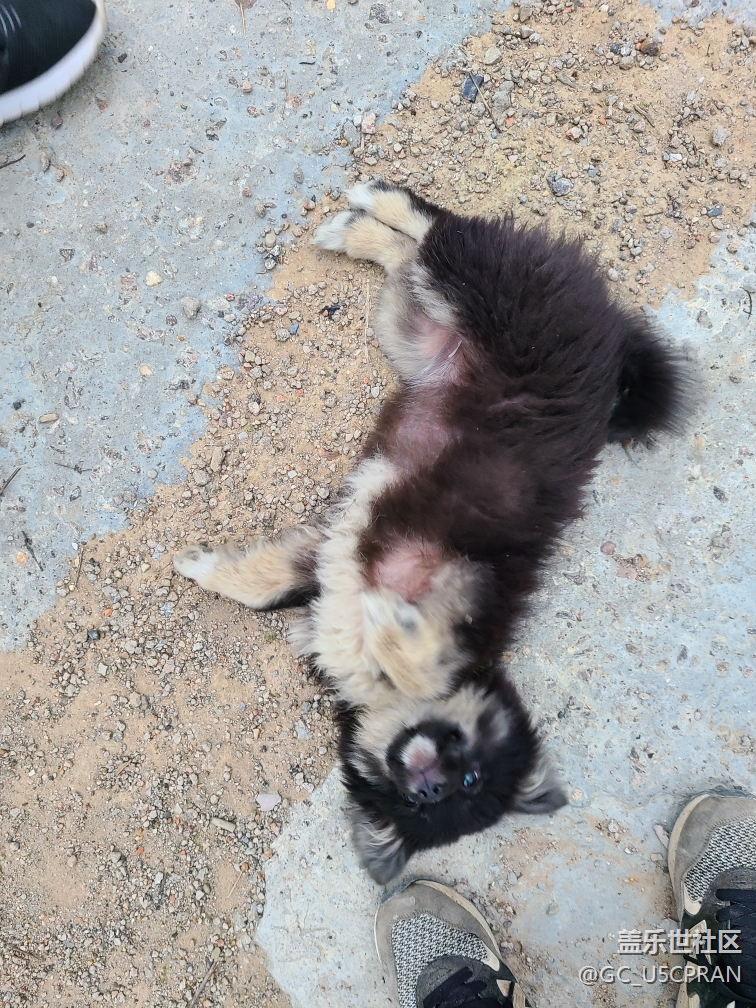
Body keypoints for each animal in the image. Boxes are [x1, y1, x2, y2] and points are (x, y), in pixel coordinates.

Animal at [174, 181, 685, 884]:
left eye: (461, 789)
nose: (431, 787)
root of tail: (607, 330)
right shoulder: (449, 575)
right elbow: (411, 658)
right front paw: (394, 627)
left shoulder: (330, 557)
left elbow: (276, 587)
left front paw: (210, 568)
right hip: (495, 300)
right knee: (442, 232)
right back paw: (375, 201)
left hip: (415, 329)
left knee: (408, 264)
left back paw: (357, 229)